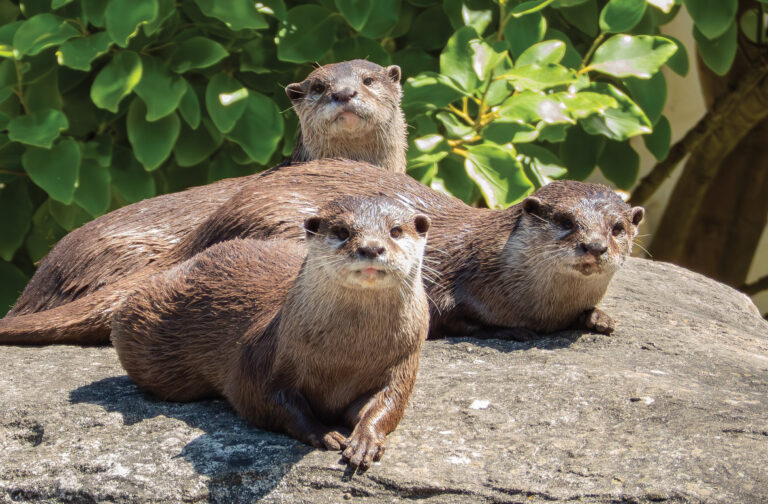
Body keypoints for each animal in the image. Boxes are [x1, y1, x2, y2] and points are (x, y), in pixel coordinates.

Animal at [0, 160, 643, 345]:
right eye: (564, 221)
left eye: (617, 226)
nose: (592, 244)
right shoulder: (450, 277)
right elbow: (453, 313)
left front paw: (600, 316)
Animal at [111, 197, 431, 469]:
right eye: (342, 231)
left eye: (395, 230)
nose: (371, 248)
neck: (347, 355)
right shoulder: (266, 358)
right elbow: (269, 400)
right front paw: (323, 432)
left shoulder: (402, 363)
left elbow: (387, 404)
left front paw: (365, 439)